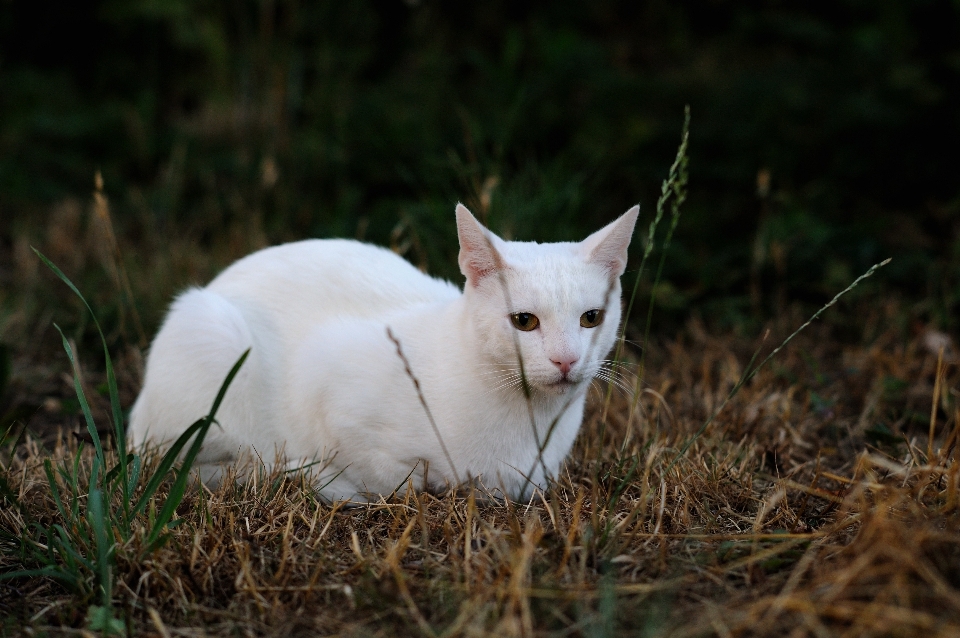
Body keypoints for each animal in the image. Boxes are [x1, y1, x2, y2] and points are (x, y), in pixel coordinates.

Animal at [127, 205, 636, 504]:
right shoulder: (327, 385)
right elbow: (394, 478)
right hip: (213, 339)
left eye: (591, 318)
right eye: (524, 321)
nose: (566, 360)